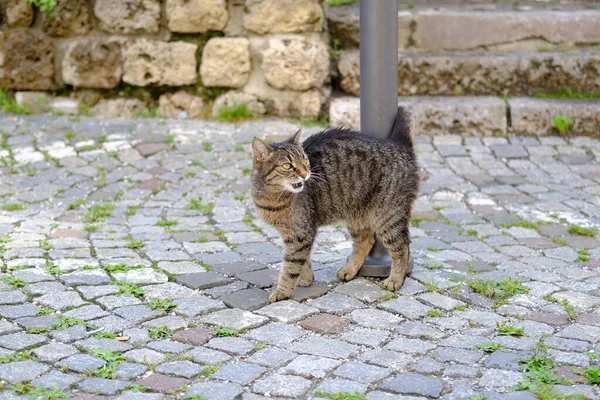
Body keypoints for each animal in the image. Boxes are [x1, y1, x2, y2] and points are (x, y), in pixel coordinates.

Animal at [251, 106, 420, 304]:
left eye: (304, 160)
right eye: (287, 166)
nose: (305, 173)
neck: (272, 197)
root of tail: (399, 144)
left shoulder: (300, 233)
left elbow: (291, 266)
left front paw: (283, 291)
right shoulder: (293, 234)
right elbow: (303, 260)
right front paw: (306, 279)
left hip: (387, 216)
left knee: (403, 247)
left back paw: (395, 280)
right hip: (357, 214)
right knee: (366, 241)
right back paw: (350, 270)